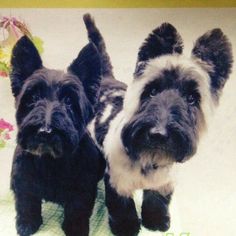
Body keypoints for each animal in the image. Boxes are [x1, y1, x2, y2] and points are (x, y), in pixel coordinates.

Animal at [9, 35, 105, 236]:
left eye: (68, 101)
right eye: (33, 98)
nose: (45, 131)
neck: (50, 161)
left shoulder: (82, 188)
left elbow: (77, 209)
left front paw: (76, 228)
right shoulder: (23, 182)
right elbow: (26, 203)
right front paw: (27, 224)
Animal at [84, 13, 233, 235]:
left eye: (192, 98)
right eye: (152, 90)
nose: (158, 134)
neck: (149, 158)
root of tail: (106, 78)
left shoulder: (163, 182)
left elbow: (157, 201)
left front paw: (155, 221)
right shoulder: (118, 182)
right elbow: (122, 207)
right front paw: (126, 227)